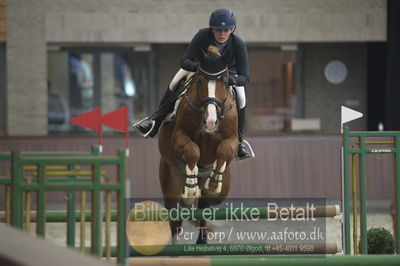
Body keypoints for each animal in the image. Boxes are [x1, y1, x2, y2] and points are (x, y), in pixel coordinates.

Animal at [157, 45, 239, 243]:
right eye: (200, 81)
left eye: (226, 83)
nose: (210, 122)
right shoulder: (179, 136)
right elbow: (193, 150)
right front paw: (191, 183)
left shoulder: (232, 140)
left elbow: (224, 148)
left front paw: (214, 180)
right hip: (170, 185)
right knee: (175, 218)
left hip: (220, 194)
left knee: (204, 206)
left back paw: (202, 239)